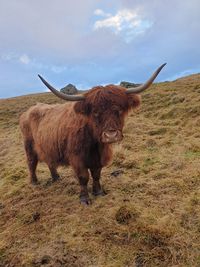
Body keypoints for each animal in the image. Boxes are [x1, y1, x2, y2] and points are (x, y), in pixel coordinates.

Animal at [19, 63, 166, 205]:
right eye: (95, 112)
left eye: (119, 110)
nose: (111, 135)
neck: (94, 143)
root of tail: (28, 111)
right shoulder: (77, 158)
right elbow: (83, 177)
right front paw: (84, 198)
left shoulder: (99, 158)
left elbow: (96, 174)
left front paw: (98, 192)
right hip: (29, 146)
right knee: (31, 162)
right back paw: (34, 182)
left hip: (48, 146)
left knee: (50, 161)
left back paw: (56, 178)